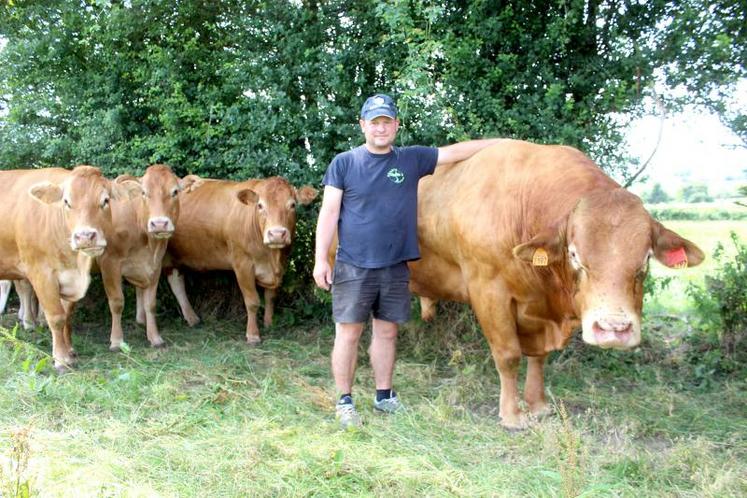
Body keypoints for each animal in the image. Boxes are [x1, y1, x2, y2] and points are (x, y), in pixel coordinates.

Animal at [0, 166, 137, 371]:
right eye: (66, 202)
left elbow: (67, 315)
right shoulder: (41, 273)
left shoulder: (69, 278)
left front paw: (70, 351)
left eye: (105, 200)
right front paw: (61, 359)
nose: (85, 236)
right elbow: (56, 317)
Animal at [162, 176, 317, 343]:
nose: (276, 234)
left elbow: (270, 297)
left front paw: (269, 323)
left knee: (176, 283)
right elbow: (252, 301)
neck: (271, 257)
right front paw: (253, 335)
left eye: (292, 205)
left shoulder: (280, 265)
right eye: (260, 205)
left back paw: (192, 319)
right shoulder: (242, 264)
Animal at [407, 140, 704, 429]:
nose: (613, 329)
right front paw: (511, 415)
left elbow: (539, 358)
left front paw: (537, 406)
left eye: (646, 259)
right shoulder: (489, 291)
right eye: (574, 255)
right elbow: (508, 355)